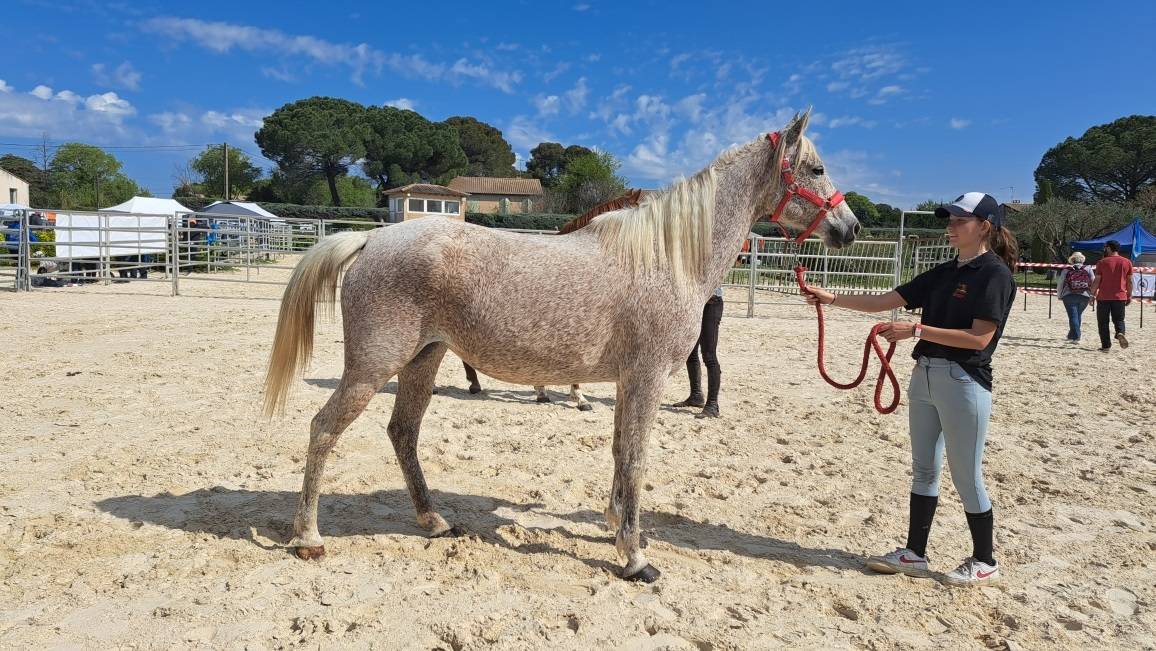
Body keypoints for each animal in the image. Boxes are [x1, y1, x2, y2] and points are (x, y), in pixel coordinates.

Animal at [263, 110, 858, 582]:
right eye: (816, 168)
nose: (849, 227)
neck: (666, 258)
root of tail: (371, 238)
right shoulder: (646, 378)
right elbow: (635, 458)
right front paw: (635, 559)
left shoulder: (628, 383)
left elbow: (619, 453)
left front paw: (617, 529)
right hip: (372, 367)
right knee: (323, 429)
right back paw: (308, 538)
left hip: (422, 360)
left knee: (402, 433)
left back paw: (433, 522)